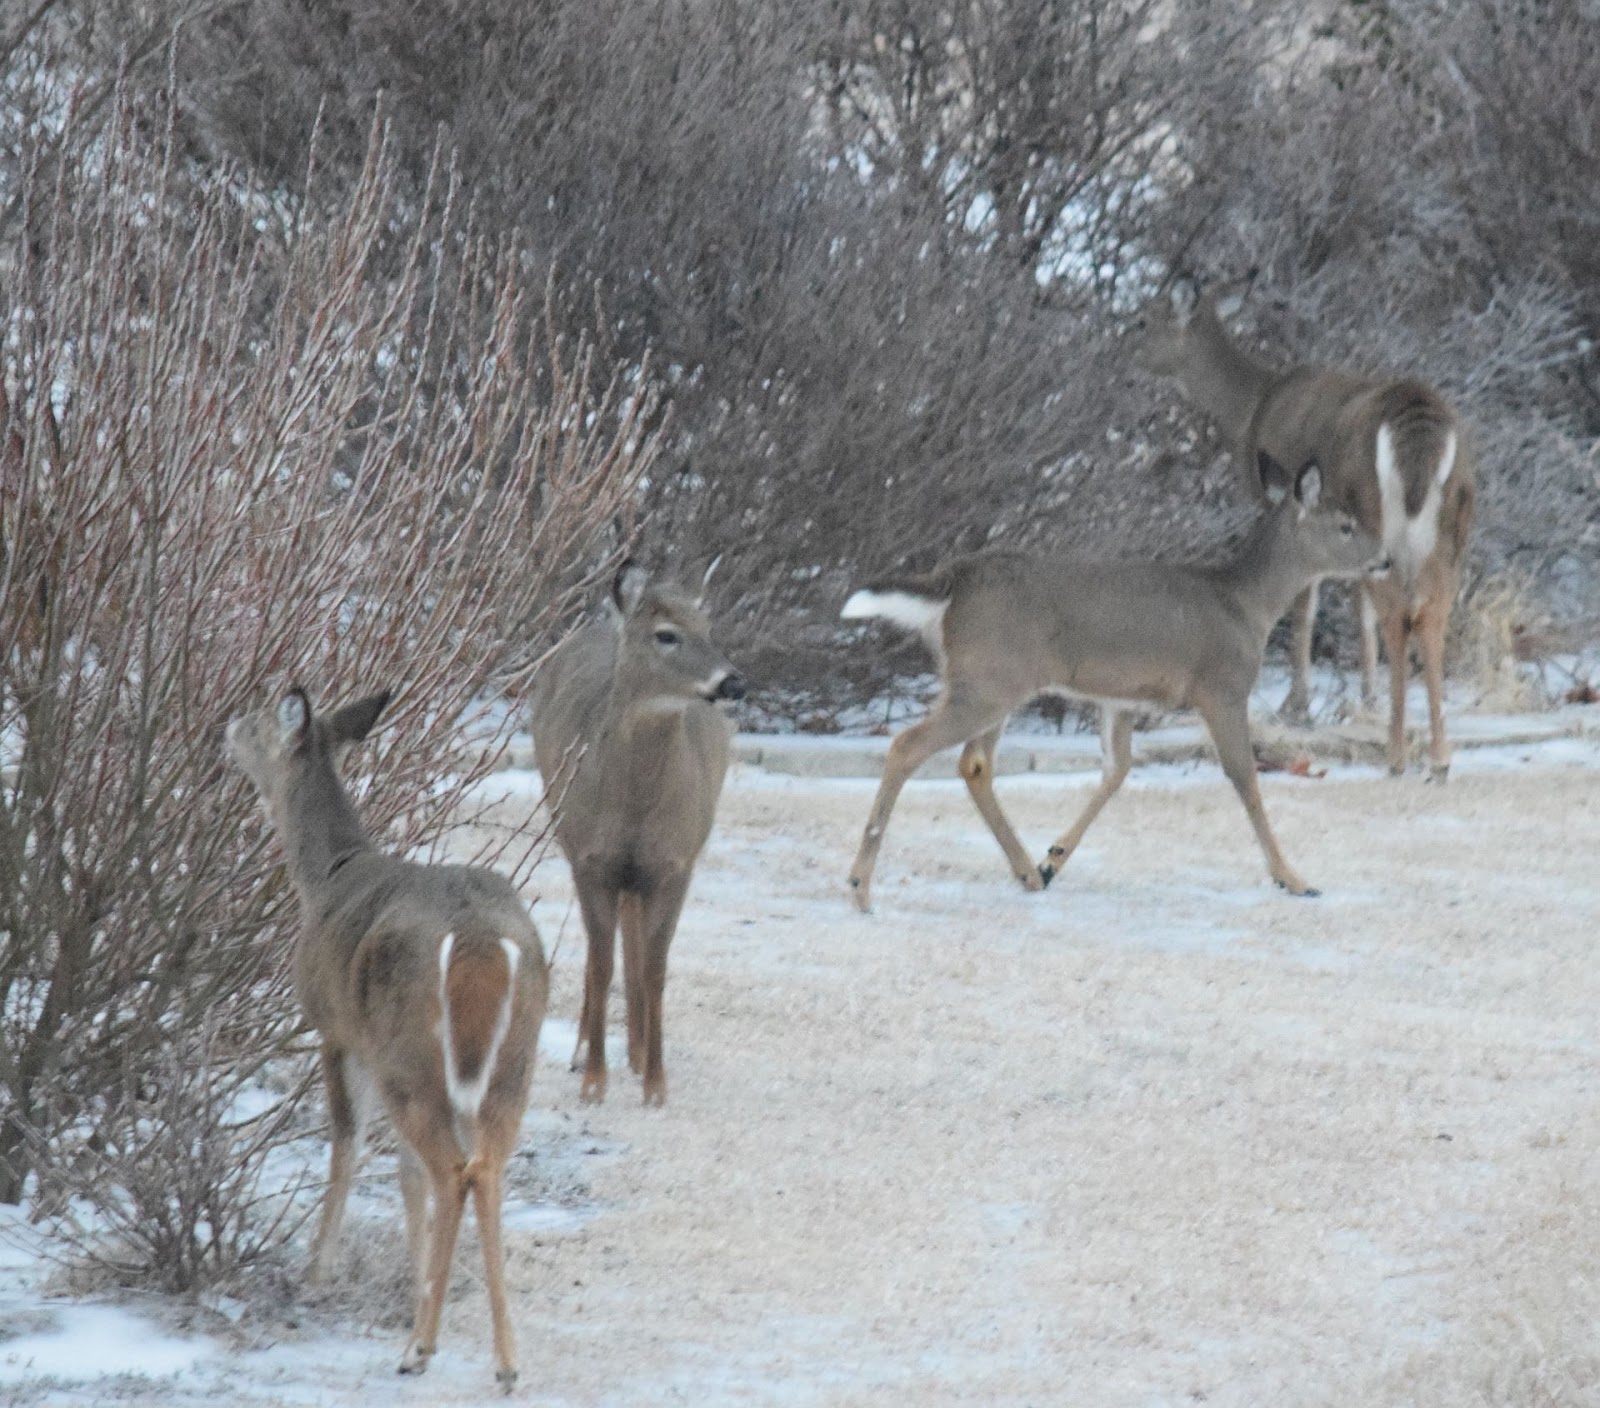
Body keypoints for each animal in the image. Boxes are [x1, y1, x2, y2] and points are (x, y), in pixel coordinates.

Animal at [224, 687, 547, 1390]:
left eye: (257, 721)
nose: (225, 728)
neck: (325, 874)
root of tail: (477, 941)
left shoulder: (337, 1030)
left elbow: (346, 1146)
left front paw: (317, 1271)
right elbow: (403, 1173)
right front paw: (417, 1280)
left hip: (406, 1053)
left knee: (452, 1170)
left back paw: (418, 1350)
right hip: (510, 1062)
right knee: (484, 1168)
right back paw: (506, 1362)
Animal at [527, 561, 745, 1107]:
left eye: (708, 628)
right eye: (666, 635)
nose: (734, 682)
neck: (634, 807)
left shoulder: (676, 862)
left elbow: (656, 968)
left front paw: (656, 1084)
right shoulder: (590, 859)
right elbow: (601, 963)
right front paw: (592, 1081)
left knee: (635, 941)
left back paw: (638, 1051)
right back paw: (587, 1048)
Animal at [840, 454, 1390, 912]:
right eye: (1346, 525)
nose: (1384, 559)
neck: (1246, 603)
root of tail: (954, 580)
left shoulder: (1120, 699)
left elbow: (1118, 769)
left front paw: (1053, 858)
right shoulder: (1223, 687)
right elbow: (1245, 778)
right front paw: (1292, 878)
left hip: (991, 679)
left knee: (974, 764)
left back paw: (1026, 873)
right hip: (989, 679)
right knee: (908, 745)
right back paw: (861, 887)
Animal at [1131, 278, 1477, 779]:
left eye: (1142, 319)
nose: (1123, 352)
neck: (1250, 407)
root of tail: (1422, 429)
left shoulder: (1286, 504)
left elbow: (1304, 605)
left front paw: (1297, 705)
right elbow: (1358, 611)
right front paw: (1366, 699)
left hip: (1376, 504)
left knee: (1400, 613)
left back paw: (1400, 758)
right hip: (1454, 524)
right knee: (1431, 615)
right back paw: (1439, 758)